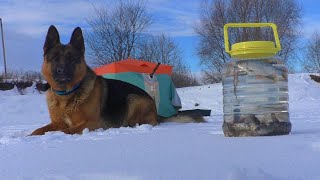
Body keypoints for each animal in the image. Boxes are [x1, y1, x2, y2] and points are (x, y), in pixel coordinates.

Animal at [29, 25, 202, 135]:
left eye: (72, 59)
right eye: (55, 58)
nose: (61, 71)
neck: (66, 96)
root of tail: (156, 111)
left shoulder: (90, 123)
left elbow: (67, 131)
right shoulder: (56, 123)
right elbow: (39, 130)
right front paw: (28, 136)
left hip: (133, 99)